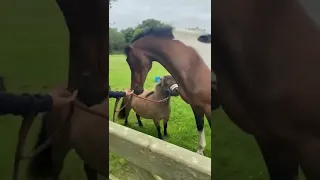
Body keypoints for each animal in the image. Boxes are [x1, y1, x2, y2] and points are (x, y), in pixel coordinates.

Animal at [124, 26, 212, 155]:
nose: (136, 90)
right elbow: (200, 126)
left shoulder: (209, 107)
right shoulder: (196, 105)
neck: (196, 64)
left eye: (130, 61)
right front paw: (200, 152)